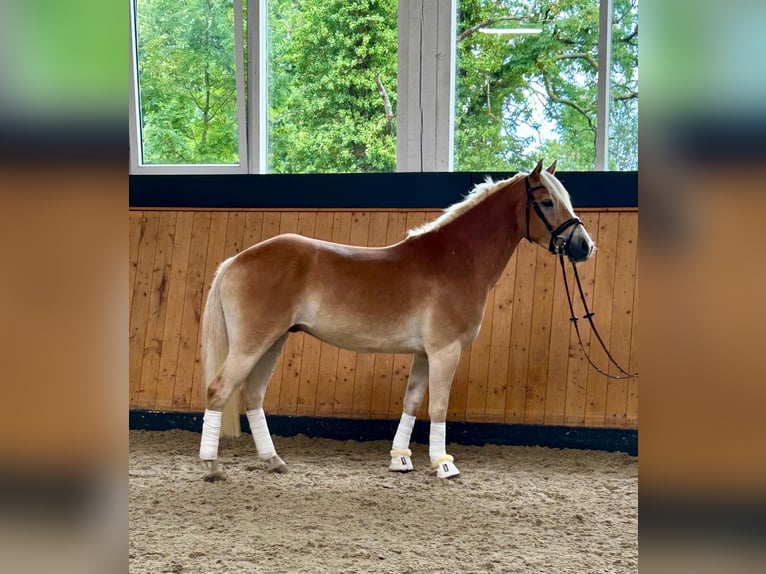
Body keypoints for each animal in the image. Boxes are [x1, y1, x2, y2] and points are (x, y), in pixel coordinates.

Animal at [198, 159, 594, 480]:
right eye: (547, 201)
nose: (584, 246)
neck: (455, 260)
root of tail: (236, 260)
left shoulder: (423, 353)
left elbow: (412, 402)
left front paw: (401, 459)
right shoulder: (445, 350)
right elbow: (438, 405)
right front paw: (443, 464)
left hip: (274, 341)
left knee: (252, 395)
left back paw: (273, 461)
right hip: (252, 344)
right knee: (219, 391)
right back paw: (213, 467)